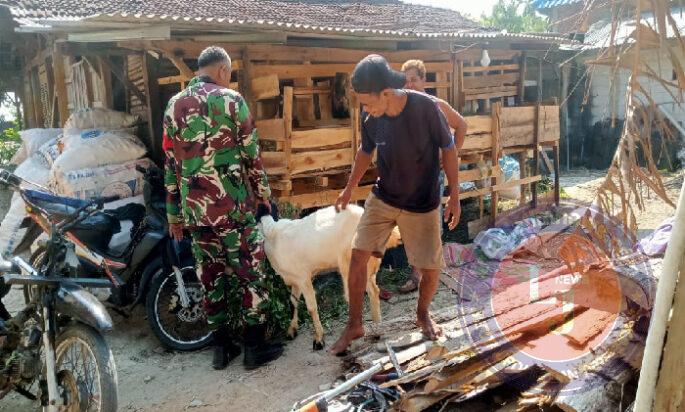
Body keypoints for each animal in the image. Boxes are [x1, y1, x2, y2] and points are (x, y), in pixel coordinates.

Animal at [260, 204, 400, 350]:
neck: (273, 234)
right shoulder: (295, 280)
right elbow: (292, 302)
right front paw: (291, 330)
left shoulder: (303, 277)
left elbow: (311, 307)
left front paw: (319, 340)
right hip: (368, 264)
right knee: (374, 290)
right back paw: (377, 328)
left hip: (349, 262)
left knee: (355, 294)